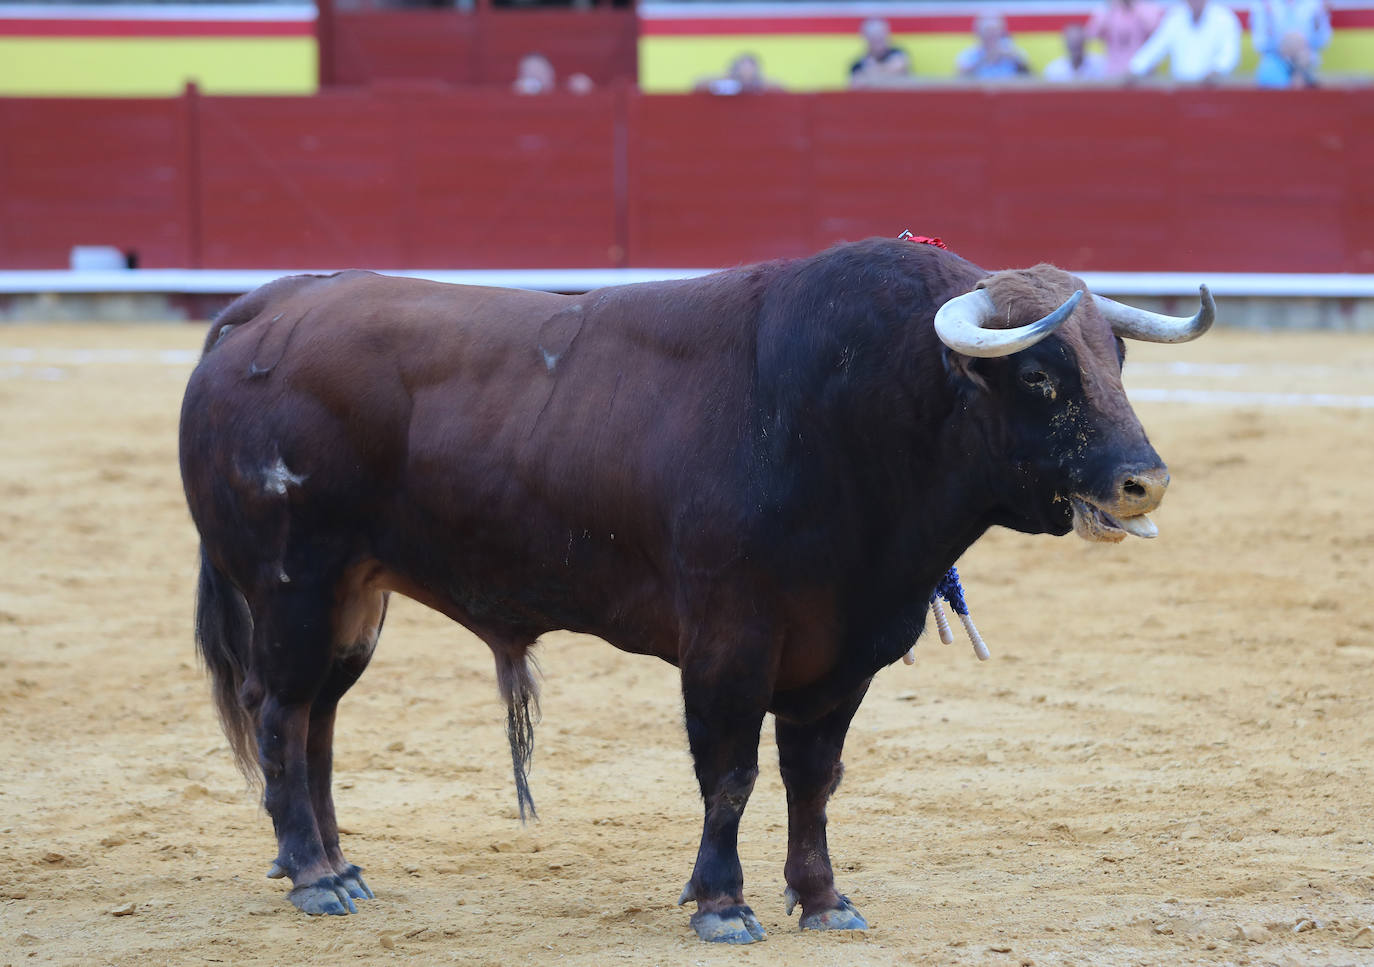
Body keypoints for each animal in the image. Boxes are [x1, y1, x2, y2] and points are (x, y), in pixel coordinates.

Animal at [174, 237, 1214, 939]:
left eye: (1116, 359)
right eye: (1039, 375)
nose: (1146, 480)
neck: (849, 412)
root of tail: (262, 310)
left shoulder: (843, 654)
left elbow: (813, 776)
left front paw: (823, 898)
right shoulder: (729, 641)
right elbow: (731, 774)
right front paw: (721, 902)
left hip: (355, 599)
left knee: (318, 719)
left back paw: (337, 865)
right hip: (292, 586)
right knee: (281, 712)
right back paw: (314, 875)